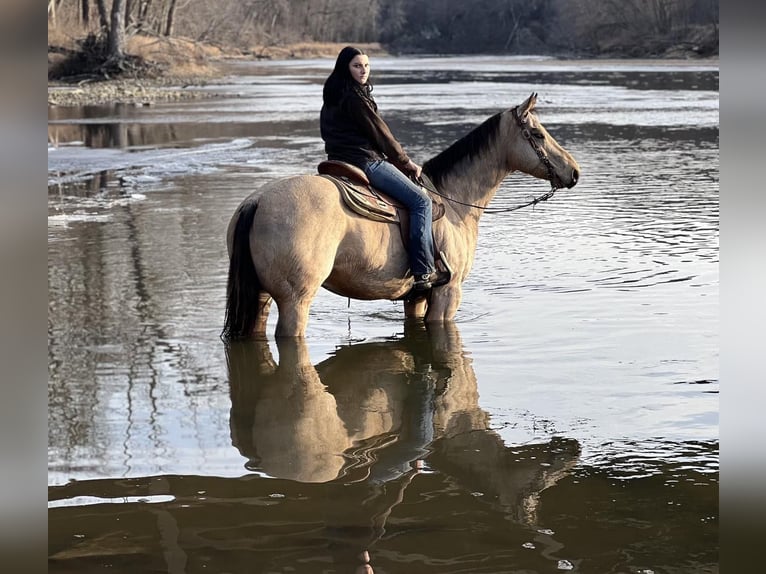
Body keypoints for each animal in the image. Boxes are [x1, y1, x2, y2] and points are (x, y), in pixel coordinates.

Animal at [222, 92, 584, 340]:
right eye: (538, 134)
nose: (574, 172)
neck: (456, 203)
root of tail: (257, 201)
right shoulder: (447, 293)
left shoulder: (417, 298)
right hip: (295, 300)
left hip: (261, 296)